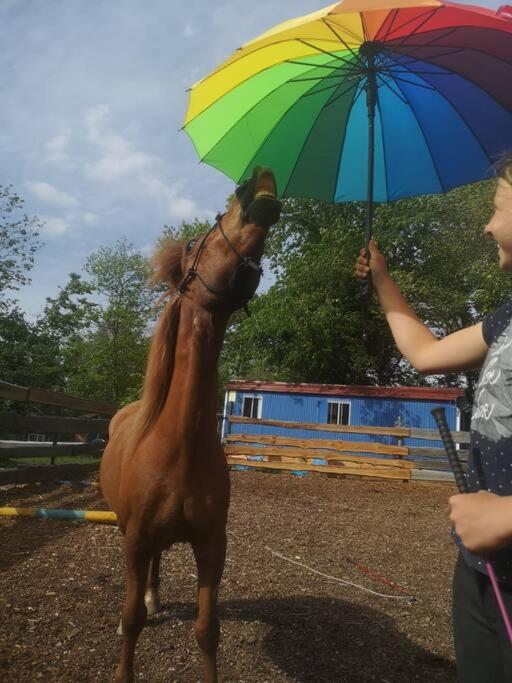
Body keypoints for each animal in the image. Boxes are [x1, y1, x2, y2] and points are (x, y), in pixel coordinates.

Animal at [100, 167, 282, 683]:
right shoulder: (135, 539)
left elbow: (207, 630)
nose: (258, 177)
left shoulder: (211, 546)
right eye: (195, 241)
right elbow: (130, 620)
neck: (176, 444)